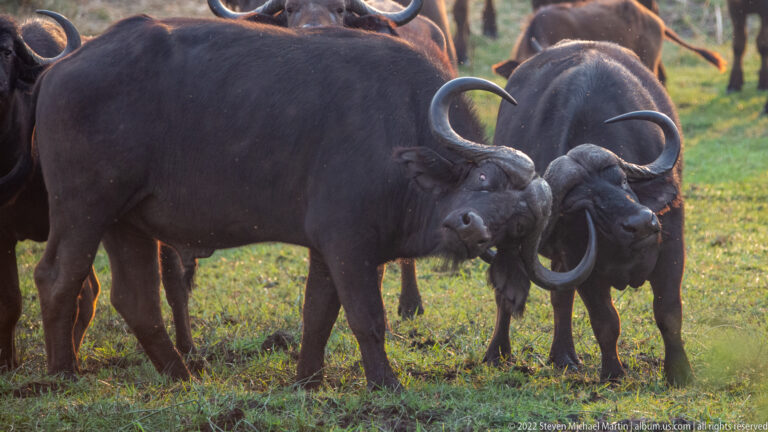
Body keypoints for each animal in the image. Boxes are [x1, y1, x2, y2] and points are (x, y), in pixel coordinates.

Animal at [9, 17, 595, 388]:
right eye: (487, 179)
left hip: (125, 220)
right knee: (58, 278)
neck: (397, 133)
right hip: (84, 206)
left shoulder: (330, 247)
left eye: (520, 224)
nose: (471, 226)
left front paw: (308, 379)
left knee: (135, 300)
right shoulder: (348, 243)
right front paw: (386, 382)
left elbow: (319, 313)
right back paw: (63, 373)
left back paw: (182, 374)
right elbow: (366, 316)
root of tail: (59, 67)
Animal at [486, 40, 693, 386]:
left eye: (622, 180)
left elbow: (669, 313)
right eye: (582, 204)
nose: (641, 223)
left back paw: (563, 356)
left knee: (560, 297)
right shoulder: (582, 262)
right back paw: (497, 352)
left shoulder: (671, 245)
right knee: (508, 293)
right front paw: (613, 373)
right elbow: (605, 320)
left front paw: (680, 372)